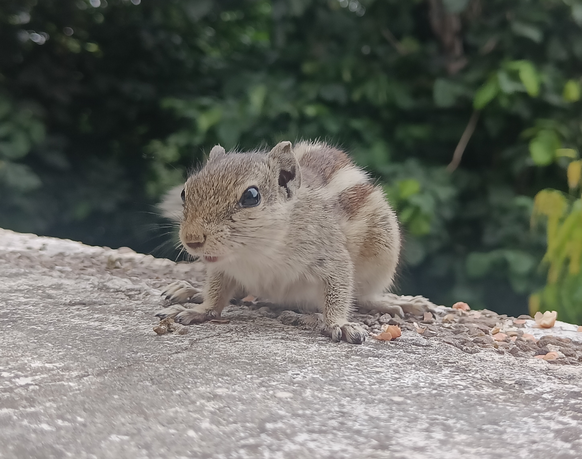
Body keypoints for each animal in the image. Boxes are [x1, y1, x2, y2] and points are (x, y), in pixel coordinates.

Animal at [155, 142, 402, 344]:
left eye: (251, 196)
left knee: (364, 295)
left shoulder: (331, 255)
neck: (256, 252)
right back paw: (191, 290)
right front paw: (201, 309)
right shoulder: (222, 267)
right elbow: (216, 293)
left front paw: (339, 324)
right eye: (184, 192)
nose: (192, 239)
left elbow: (338, 290)